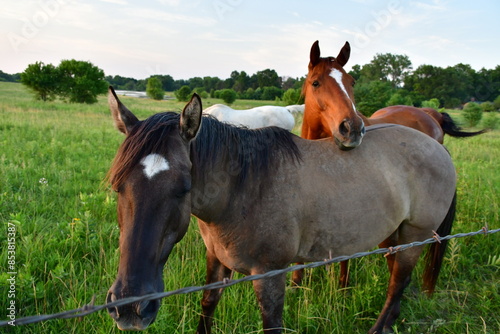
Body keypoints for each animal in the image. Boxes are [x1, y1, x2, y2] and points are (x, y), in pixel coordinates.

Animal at [105, 87, 458, 332]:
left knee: (397, 284)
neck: (244, 190)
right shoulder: (216, 261)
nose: (131, 308)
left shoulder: (270, 276)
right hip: (392, 236)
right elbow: (206, 307)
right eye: (118, 186)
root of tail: (439, 148)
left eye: (183, 188)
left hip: (414, 236)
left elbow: (271, 325)